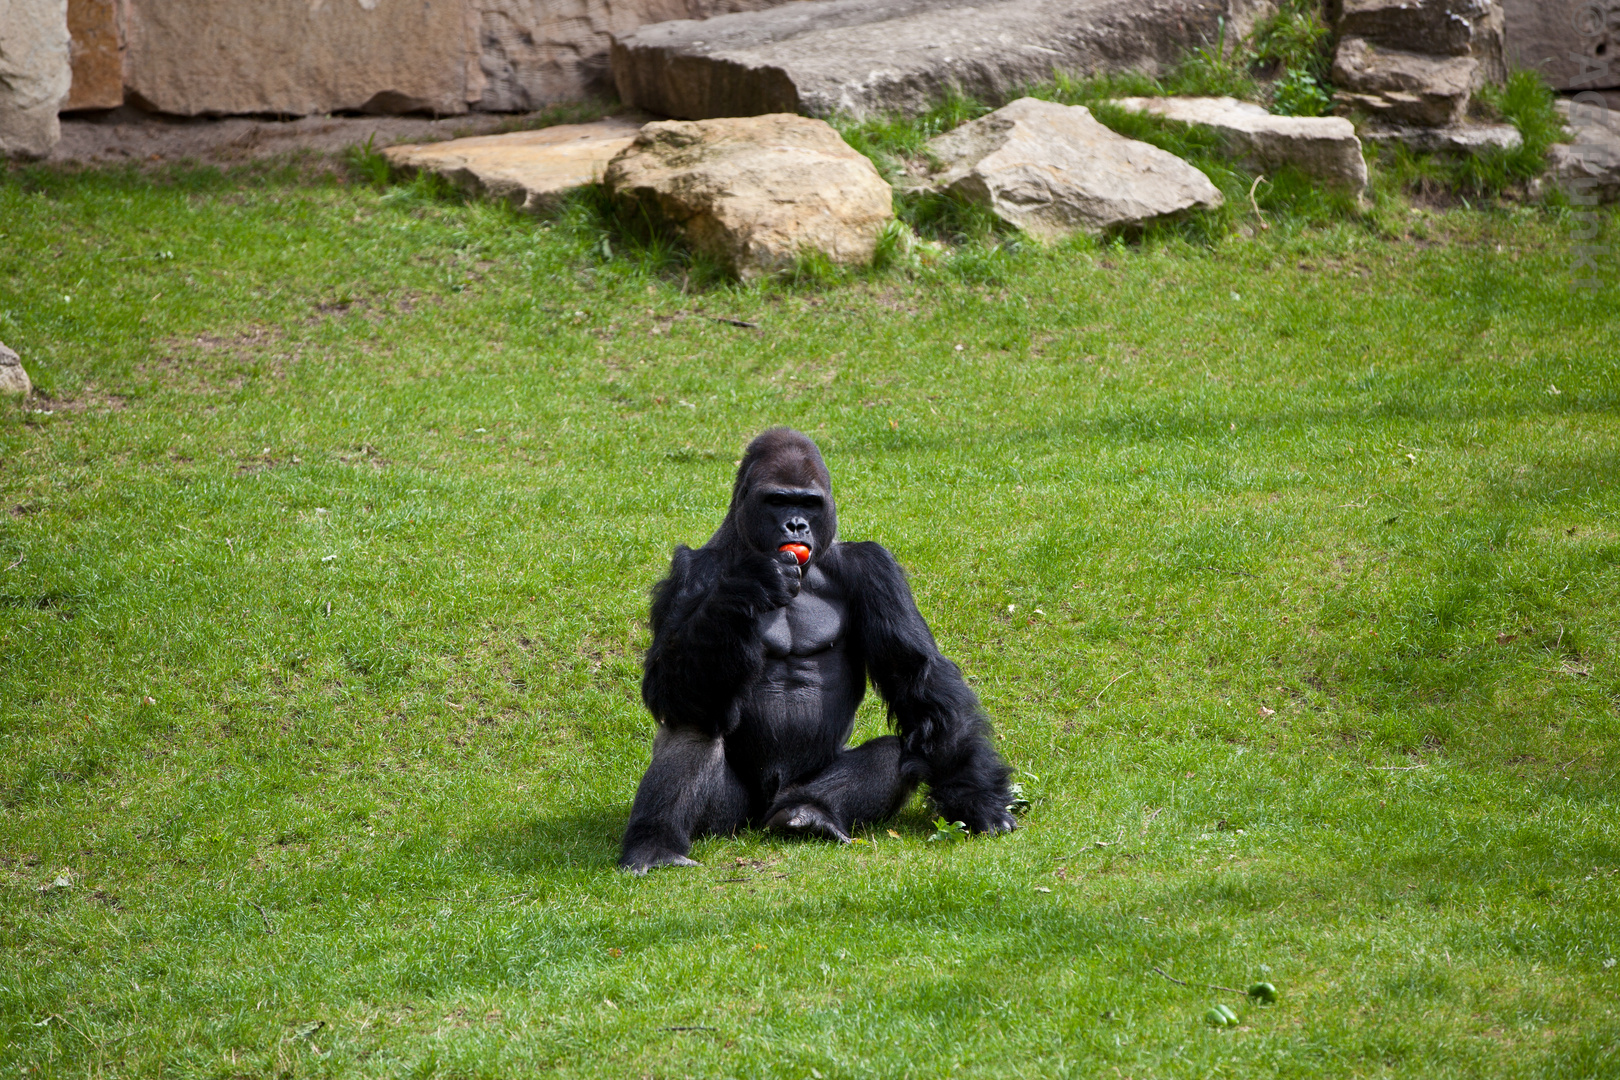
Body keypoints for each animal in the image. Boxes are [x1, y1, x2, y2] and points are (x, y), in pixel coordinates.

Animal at [618, 427, 1010, 874]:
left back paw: (810, 813)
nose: (796, 524)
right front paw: (742, 591)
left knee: (894, 751)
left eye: (808, 503)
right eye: (777, 501)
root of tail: (761, 819)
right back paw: (655, 844)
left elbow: (917, 677)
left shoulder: (874, 566)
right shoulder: (689, 571)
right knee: (694, 718)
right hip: (729, 820)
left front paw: (976, 797)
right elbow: (665, 686)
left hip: (790, 795)